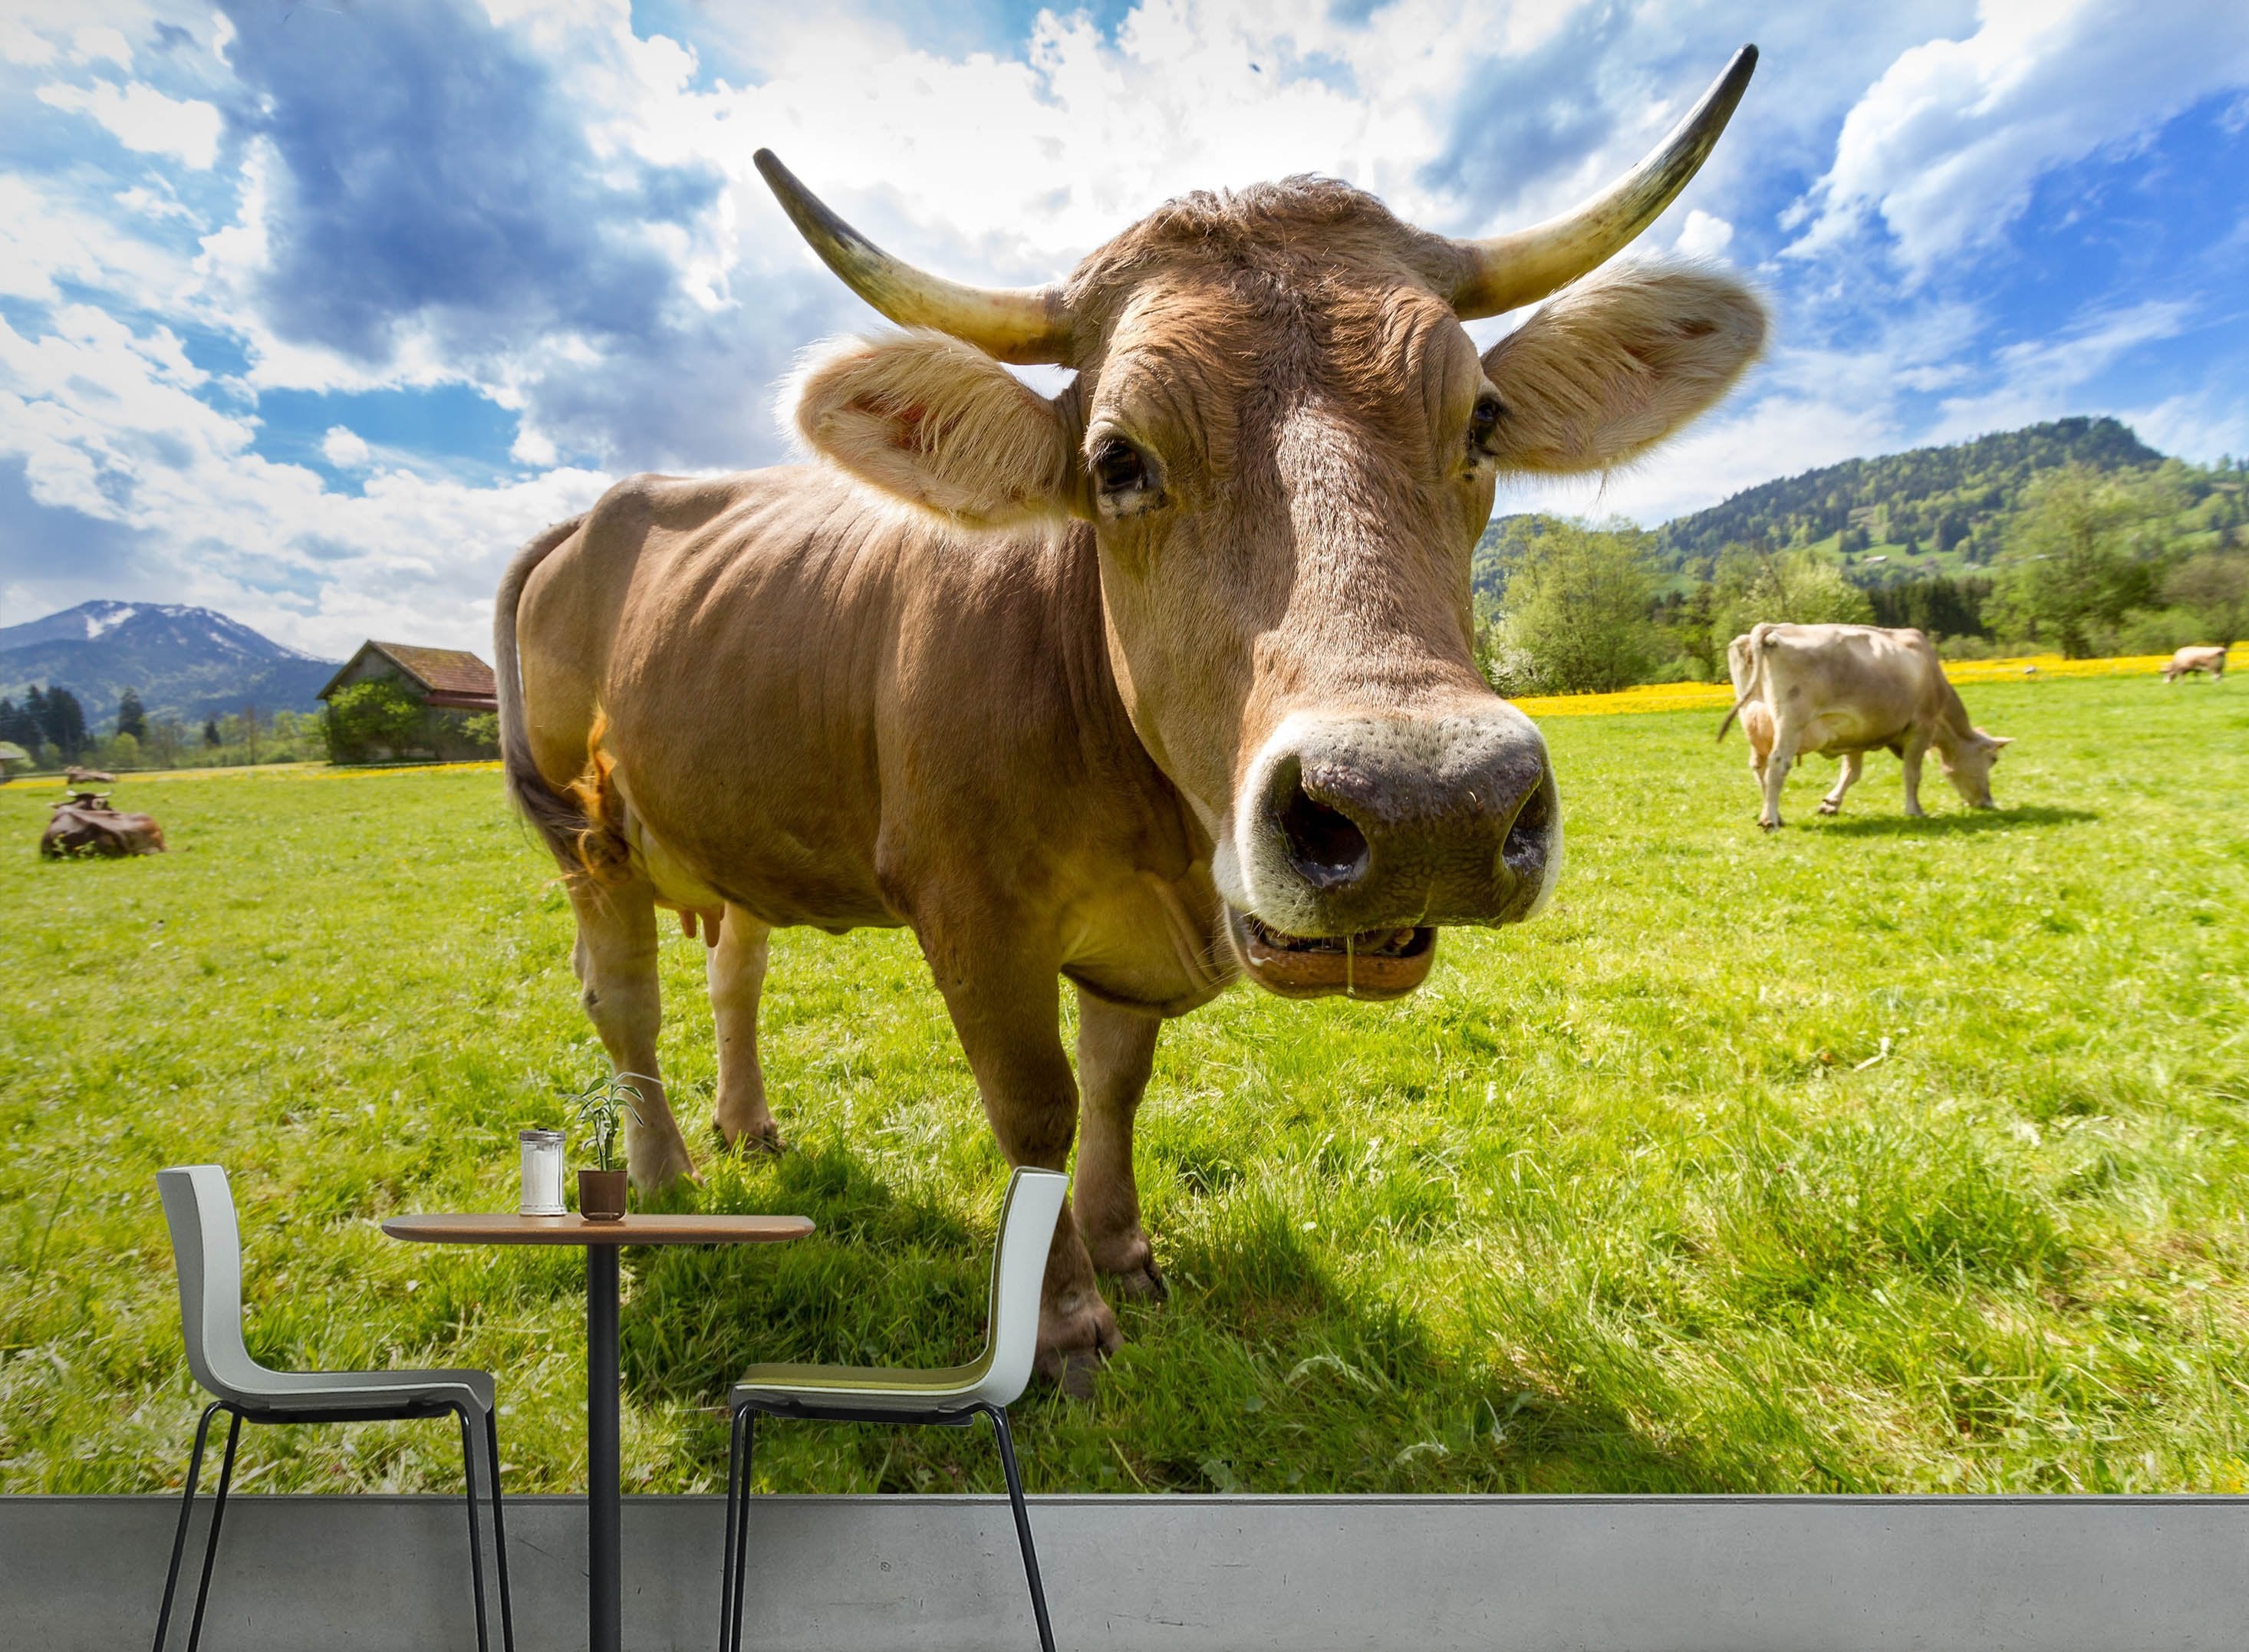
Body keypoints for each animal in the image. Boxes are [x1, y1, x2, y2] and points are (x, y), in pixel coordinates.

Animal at [497, 50, 1768, 1375]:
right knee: (624, 1000)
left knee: (732, 968)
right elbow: (1036, 1106)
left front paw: (1124, 1251)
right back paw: (663, 1180)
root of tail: (598, 511)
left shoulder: (1126, 946)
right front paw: (1061, 1319)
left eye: (1481, 420)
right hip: (589, 836)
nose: (1428, 808)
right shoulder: (969, 909)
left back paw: (746, 1124)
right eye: (1117, 458)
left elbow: (1115, 1084)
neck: (1156, 834)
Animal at [1719, 623, 2012, 831]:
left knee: (1760, 767)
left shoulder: (1854, 733)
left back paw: (1774, 815)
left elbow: (1852, 772)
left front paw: (1831, 804)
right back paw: (1770, 820)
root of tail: (1772, 629)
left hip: (1755, 722)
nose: (1988, 803)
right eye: (1993, 760)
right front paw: (1914, 810)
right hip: (1790, 723)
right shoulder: (1920, 727)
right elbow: (1912, 774)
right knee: (1778, 764)